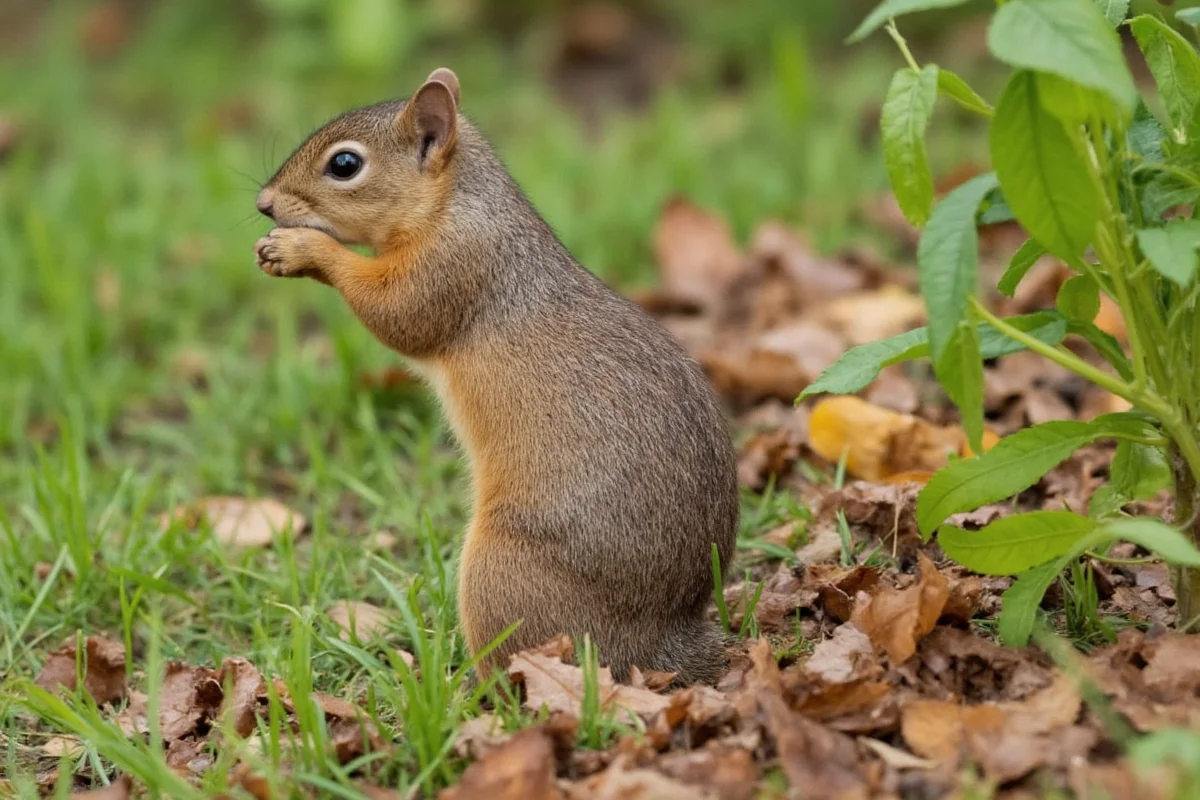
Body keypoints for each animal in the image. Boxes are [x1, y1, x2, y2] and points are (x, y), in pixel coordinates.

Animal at [253, 68, 739, 685]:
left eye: (344, 164)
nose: (264, 204)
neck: (455, 204)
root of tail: (658, 641)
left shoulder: (456, 265)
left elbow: (399, 315)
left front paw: (303, 250)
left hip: (502, 572)